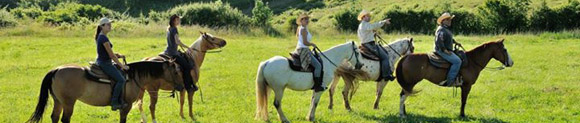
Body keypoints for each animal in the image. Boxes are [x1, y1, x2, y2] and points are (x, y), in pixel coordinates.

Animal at [26, 60, 181, 123]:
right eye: (176, 72)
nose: (181, 86)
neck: (132, 77)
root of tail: (56, 70)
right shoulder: (126, 106)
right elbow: (123, 120)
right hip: (68, 103)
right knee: (65, 119)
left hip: (58, 101)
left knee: (55, 117)